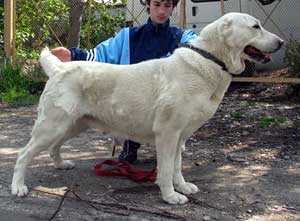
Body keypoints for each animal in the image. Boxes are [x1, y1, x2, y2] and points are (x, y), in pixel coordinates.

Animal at [12, 13, 284, 204]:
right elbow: (166, 169)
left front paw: (182, 187)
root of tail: (59, 68)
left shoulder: (180, 137)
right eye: (255, 26)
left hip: (72, 125)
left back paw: (60, 164)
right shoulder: (168, 133)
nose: (281, 42)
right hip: (53, 126)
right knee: (23, 154)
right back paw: (18, 187)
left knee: (53, 148)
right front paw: (170, 196)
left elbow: (176, 166)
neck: (211, 60)